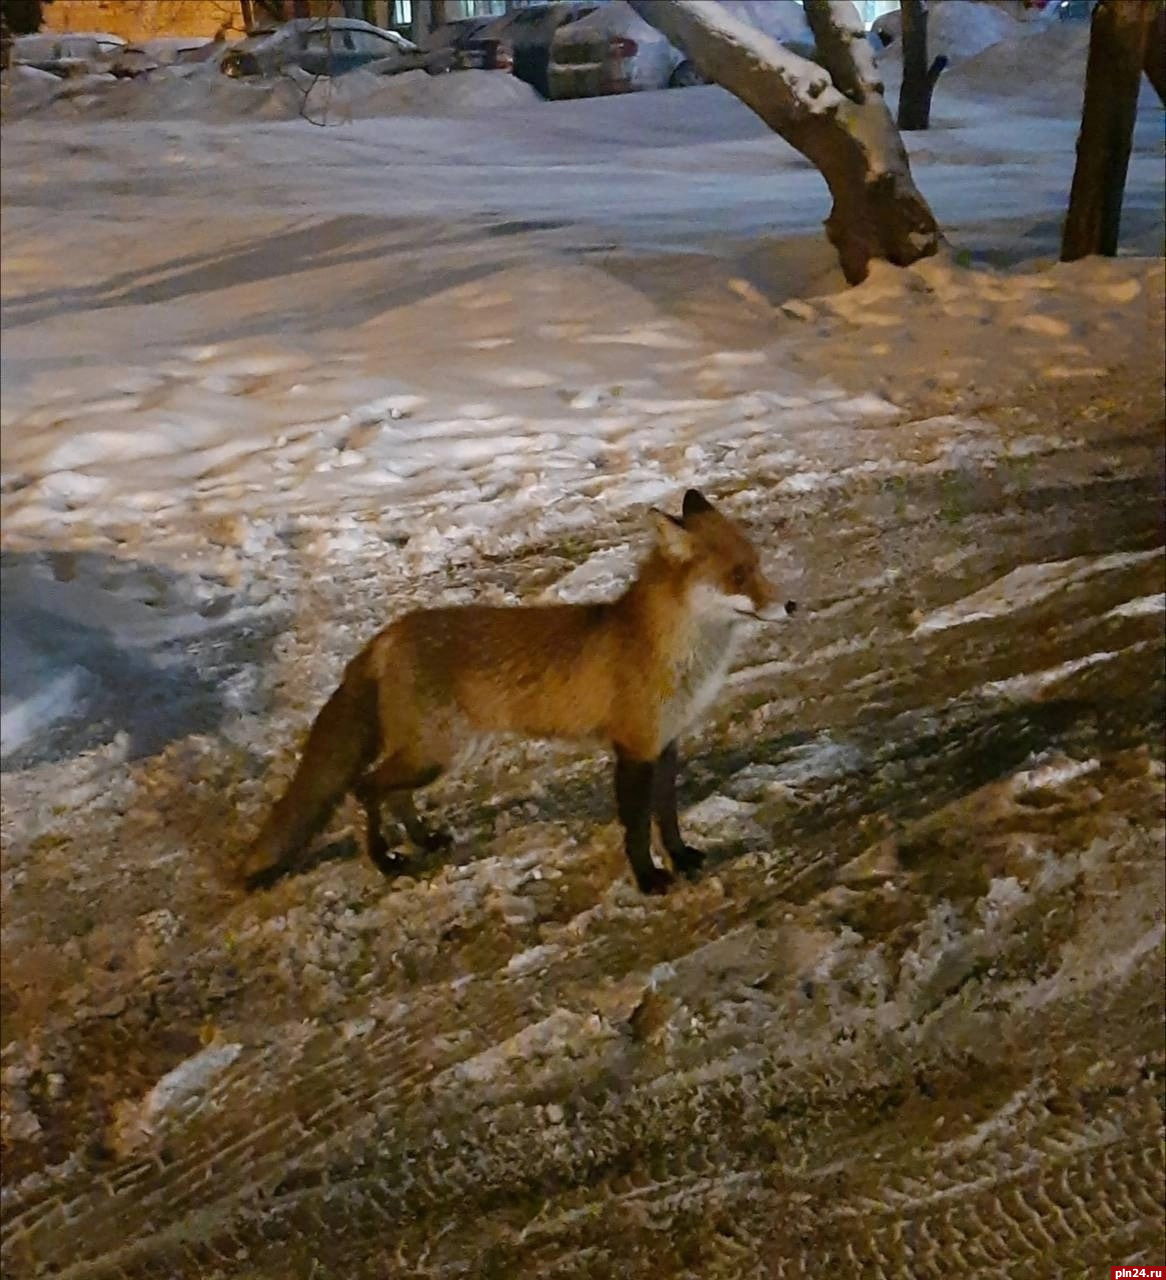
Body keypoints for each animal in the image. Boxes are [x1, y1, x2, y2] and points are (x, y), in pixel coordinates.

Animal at [244, 486, 793, 890]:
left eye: (759, 565)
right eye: (738, 576)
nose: (790, 606)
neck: (670, 651)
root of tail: (387, 634)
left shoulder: (667, 742)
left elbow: (668, 814)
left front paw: (680, 858)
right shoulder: (634, 747)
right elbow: (638, 827)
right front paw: (650, 879)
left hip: (437, 753)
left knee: (393, 794)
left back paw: (424, 841)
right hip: (435, 753)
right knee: (364, 787)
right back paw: (383, 859)